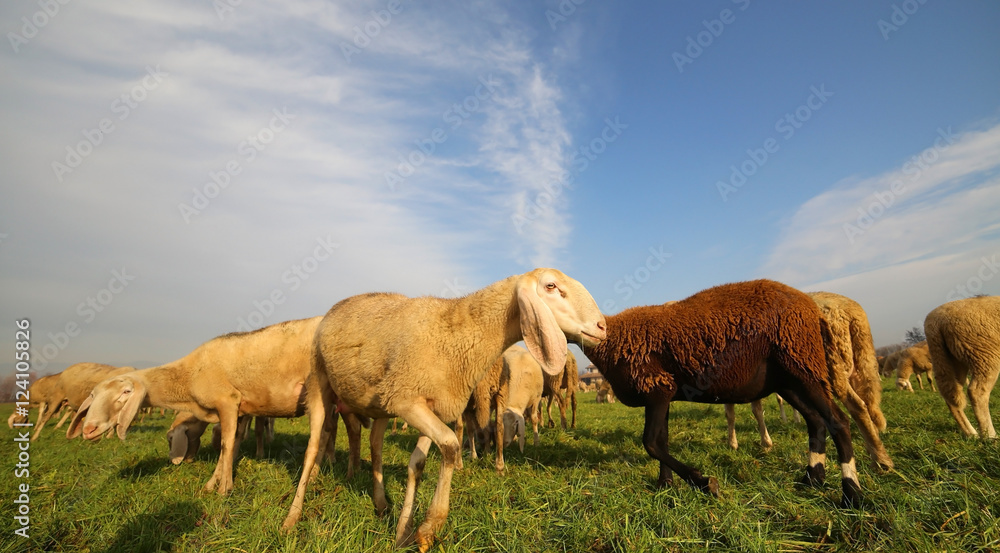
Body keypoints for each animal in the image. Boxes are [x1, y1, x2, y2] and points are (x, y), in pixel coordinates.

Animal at [68, 316, 363, 497]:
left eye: (126, 392)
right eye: (93, 395)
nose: (88, 429)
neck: (188, 376)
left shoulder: (228, 401)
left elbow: (226, 444)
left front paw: (223, 489)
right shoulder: (238, 409)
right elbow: (230, 443)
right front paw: (215, 483)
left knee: (348, 430)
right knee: (341, 430)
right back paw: (335, 474)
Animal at [282, 268, 606, 552]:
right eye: (551, 286)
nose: (602, 326)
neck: (458, 333)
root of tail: (339, 304)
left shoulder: (433, 407)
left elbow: (417, 464)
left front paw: (403, 533)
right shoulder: (408, 401)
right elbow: (450, 445)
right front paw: (429, 527)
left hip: (381, 402)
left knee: (375, 446)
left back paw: (381, 503)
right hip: (321, 382)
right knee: (312, 449)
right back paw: (291, 518)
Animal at [584, 279, 864, 508]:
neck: (611, 338)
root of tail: (813, 309)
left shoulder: (656, 387)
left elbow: (651, 443)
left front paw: (704, 482)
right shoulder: (662, 392)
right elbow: (662, 441)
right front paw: (666, 486)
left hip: (804, 365)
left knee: (838, 422)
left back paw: (852, 495)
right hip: (789, 379)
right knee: (816, 422)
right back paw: (812, 479)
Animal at [925, 295, 1000, 439]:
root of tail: (935, 324)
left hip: (951, 359)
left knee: (951, 395)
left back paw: (971, 433)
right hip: (985, 355)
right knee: (976, 392)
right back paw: (990, 436)